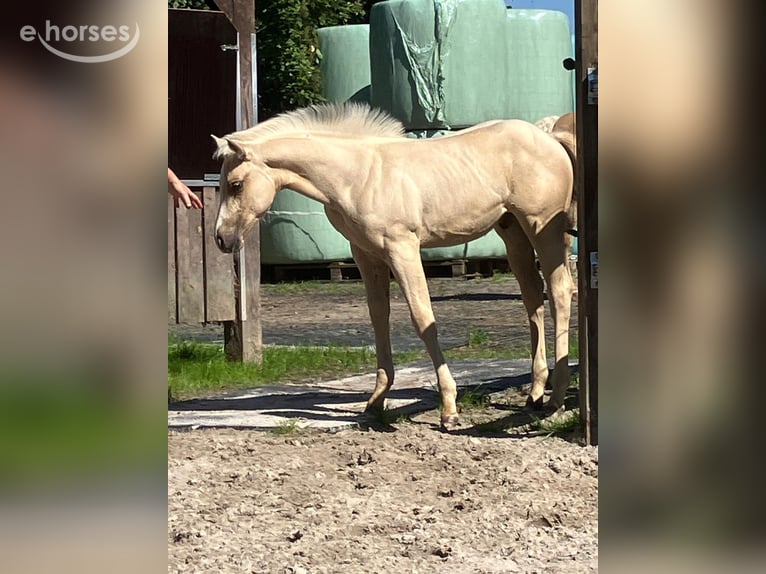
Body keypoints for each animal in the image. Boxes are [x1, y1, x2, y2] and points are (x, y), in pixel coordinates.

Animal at [212, 102, 576, 429]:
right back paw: (535, 394)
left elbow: (423, 319)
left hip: (543, 229)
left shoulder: (403, 249)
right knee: (533, 298)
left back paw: (556, 399)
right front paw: (375, 402)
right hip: (513, 232)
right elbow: (379, 318)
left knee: (560, 291)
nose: (221, 239)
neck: (356, 175)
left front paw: (449, 408)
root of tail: (550, 137)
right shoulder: (366, 254)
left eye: (236, 184)